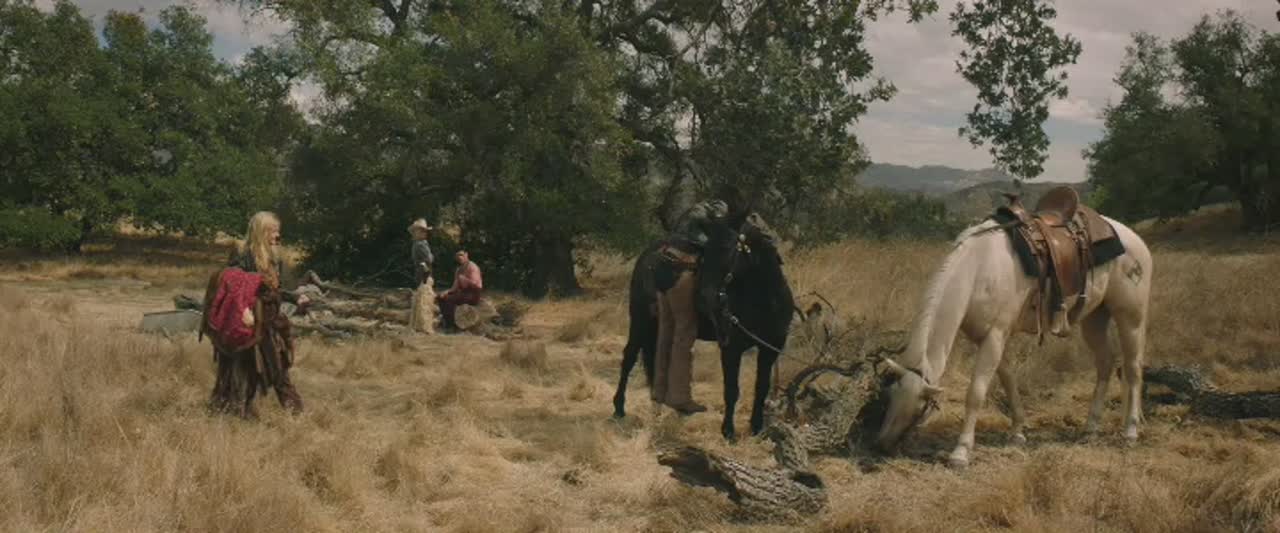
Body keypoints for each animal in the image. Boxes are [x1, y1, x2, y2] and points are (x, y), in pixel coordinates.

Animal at [611, 215, 796, 441]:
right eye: (706, 257)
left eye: (729, 254)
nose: (710, 298)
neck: (766, 301)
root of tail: (648, 254)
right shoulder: (731, 348)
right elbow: (731, 390)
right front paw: (728, 432)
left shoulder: (770, 348)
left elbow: (761, 388)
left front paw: (756, 428)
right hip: (640, 321)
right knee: (629, 357)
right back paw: (619, 408)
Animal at [871, 209, 1153, 468]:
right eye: (889, 395)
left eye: (920, 408)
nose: (882, 444)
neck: (979, 268)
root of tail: (1136, 240)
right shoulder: (990, 336)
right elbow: (1007, 379)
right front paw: (1017, 431)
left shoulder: (994, 336)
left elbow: (976, 392)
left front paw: (961, 452)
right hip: (1095, 318)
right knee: (1106, 363)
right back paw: (1091, 427)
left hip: (1131, 318)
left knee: (1132, 369)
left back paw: (1130, 431)